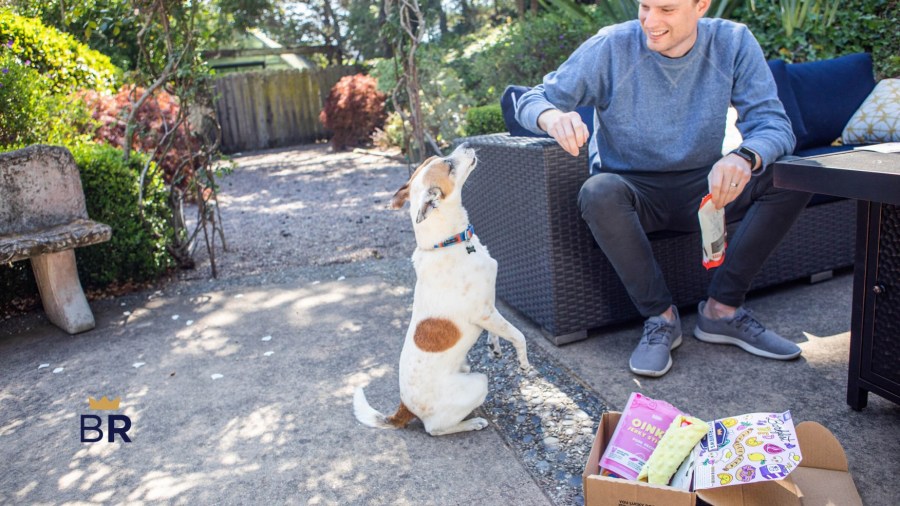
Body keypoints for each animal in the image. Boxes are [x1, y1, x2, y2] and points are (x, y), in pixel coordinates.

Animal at [352, 144, 532, 436]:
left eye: (437, 158)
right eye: (448, 164)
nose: (466, 144)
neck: (448, 242)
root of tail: (403, 408)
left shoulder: (490, 309)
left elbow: (498, 331)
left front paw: (494, 346)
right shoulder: (484, 313)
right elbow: (518, 335)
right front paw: (524, 362)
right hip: (478, 382)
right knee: (434, 429)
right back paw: (472, 422)